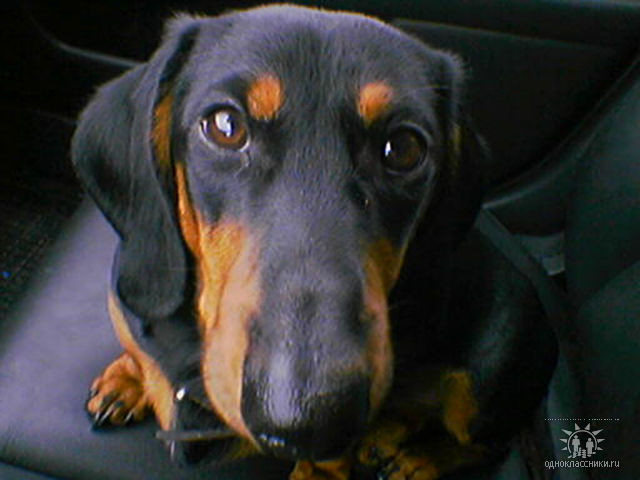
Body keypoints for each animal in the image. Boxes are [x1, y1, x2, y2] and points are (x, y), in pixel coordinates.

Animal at [73, 5, 557, 479]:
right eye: (225, 125)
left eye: (403, 148)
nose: (310, 416)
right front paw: (127, 380)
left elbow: (327, 465)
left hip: (486, 384)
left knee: (482, 444)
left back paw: (419, 459)